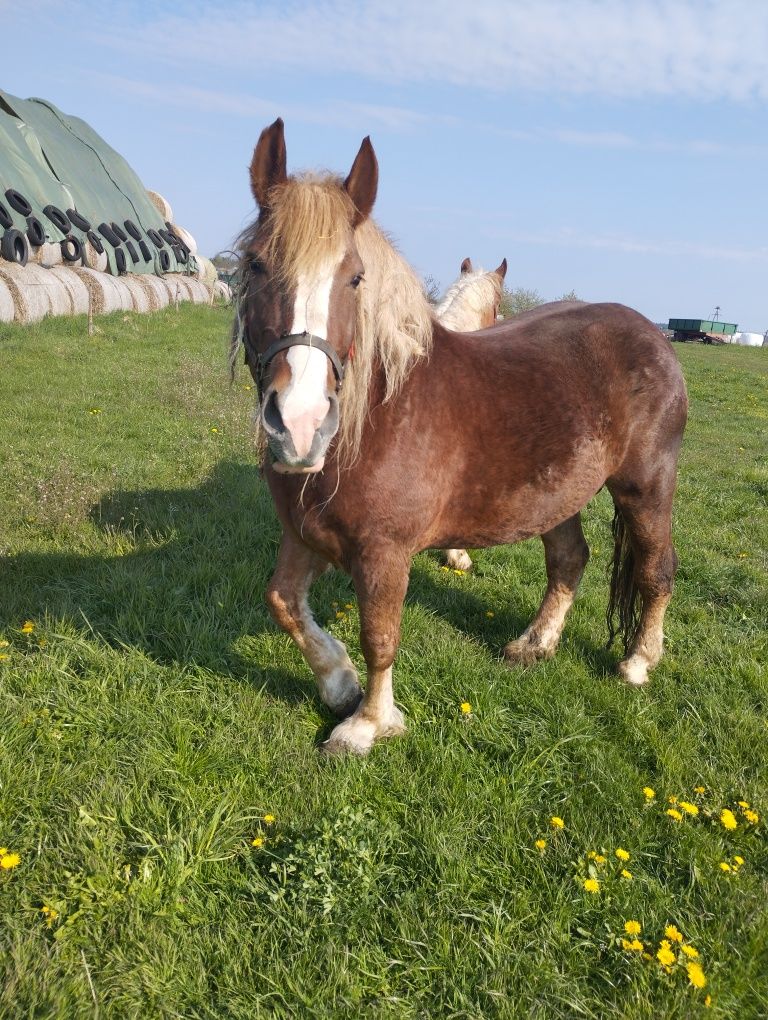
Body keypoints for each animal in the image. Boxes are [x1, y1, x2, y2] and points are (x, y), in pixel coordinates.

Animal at [235, 121, 689, 758]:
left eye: (355, 277)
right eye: (254, 265)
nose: (299, 424)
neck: (375, 419)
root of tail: (653, 333)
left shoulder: (384, 554)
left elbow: (380, 636)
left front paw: (368, 723)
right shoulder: (303, 535)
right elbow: (283, 604)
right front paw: (337, 683)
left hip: (646, 487)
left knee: (656, 568)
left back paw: (639, 662)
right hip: (559, 494)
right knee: (570, 559)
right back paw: (534, 644)